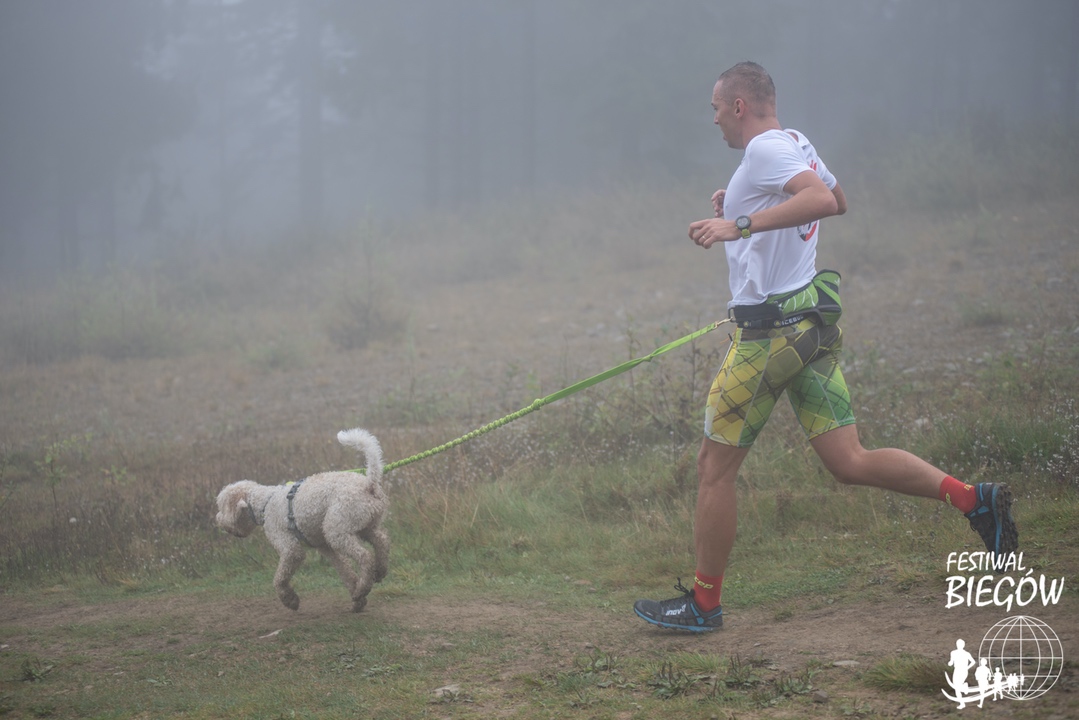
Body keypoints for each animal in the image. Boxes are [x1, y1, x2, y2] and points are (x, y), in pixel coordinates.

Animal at [215, 428, 389, 612]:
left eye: (221, 505)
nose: (217, 519)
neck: (265, 503)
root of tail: (369, 484)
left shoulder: (289, 548)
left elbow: (280, 578)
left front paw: (289, 599)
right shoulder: (324, 546)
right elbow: (344, 570)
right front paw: (357, 599)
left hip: (337, 530)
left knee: (365, 556)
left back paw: (364, 586)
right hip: (364, 526)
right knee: (382, 540)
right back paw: (379, 572)